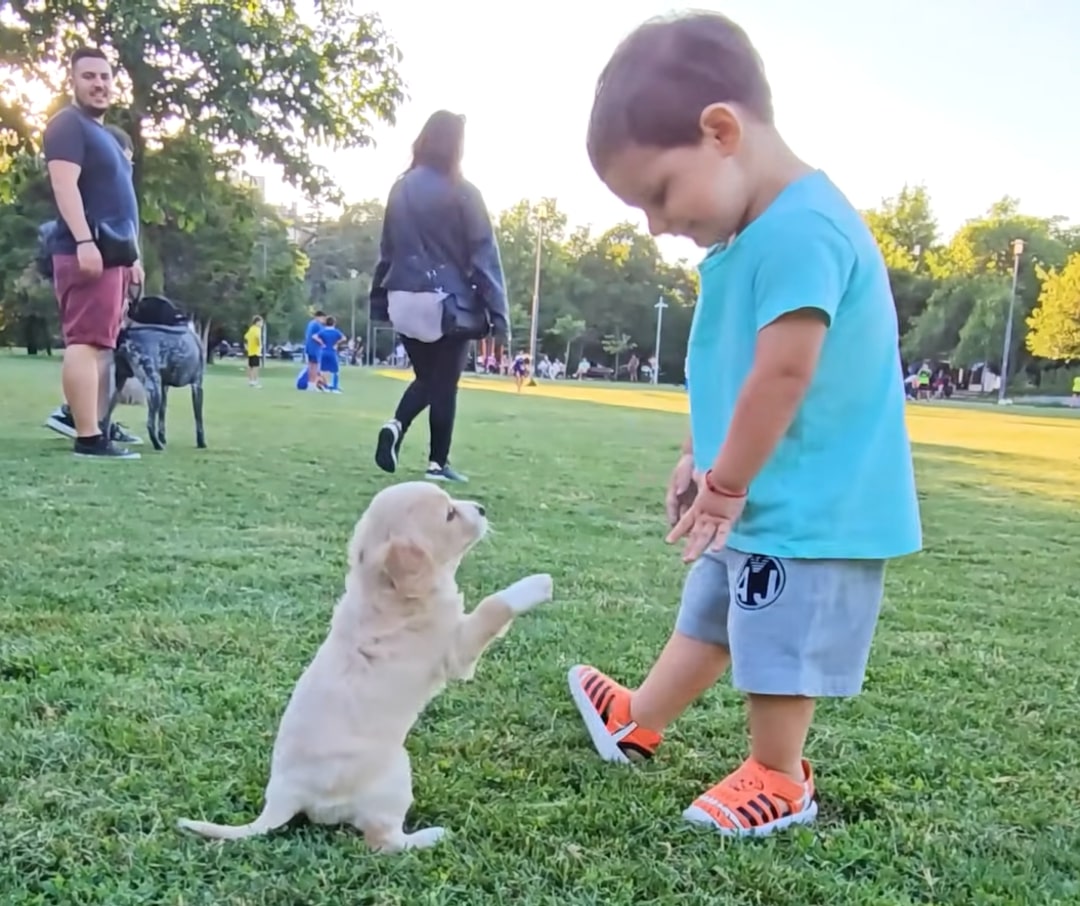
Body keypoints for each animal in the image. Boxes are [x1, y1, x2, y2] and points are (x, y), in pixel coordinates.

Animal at [105, 295, 206, 451]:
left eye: (143, 304)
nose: (129, 304)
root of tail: (127, 335)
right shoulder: (197, 385)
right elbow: (198, 418)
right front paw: (201, 443)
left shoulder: (165, 387)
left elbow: (162, 416)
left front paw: (163, 437)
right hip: (153, 387)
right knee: (149, 423)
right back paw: (158, 445)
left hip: (118, 387)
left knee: (104, 419)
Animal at [178, 485, 557, 855]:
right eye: (449, 514)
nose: (481, 508)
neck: (384, 589)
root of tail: (284, 797)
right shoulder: (457, 649)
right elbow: (493, 606)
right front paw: (536, 584)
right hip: (396, 775)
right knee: (381, 840)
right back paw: (431, 836)